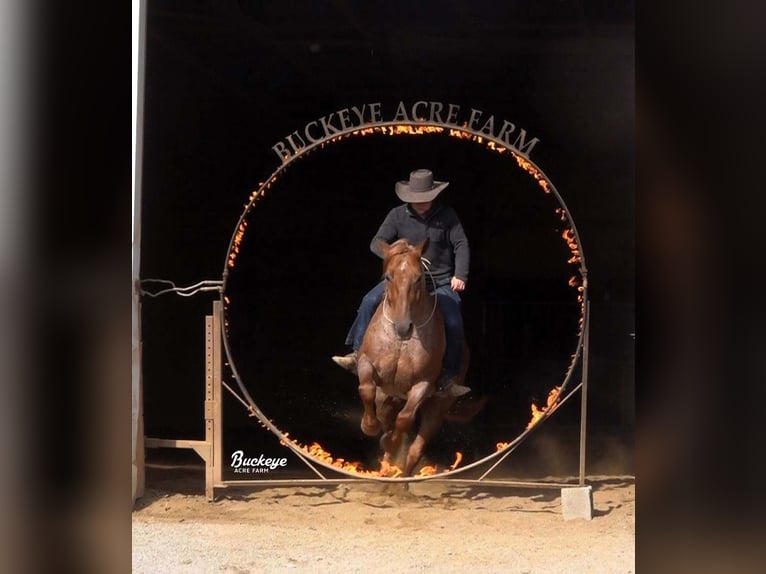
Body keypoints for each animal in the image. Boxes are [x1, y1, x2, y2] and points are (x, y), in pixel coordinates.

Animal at [356, 238, 472, 476]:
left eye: (418, 278)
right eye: (388, 277)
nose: (403, 327)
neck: (401, 342)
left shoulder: (423, 385)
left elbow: (404, 419)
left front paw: (391, 441)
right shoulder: (367, 364)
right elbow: (366, 389)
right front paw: (369, 426)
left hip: (437, 408)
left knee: (414, 449)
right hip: (388, 395)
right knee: (385, 414)